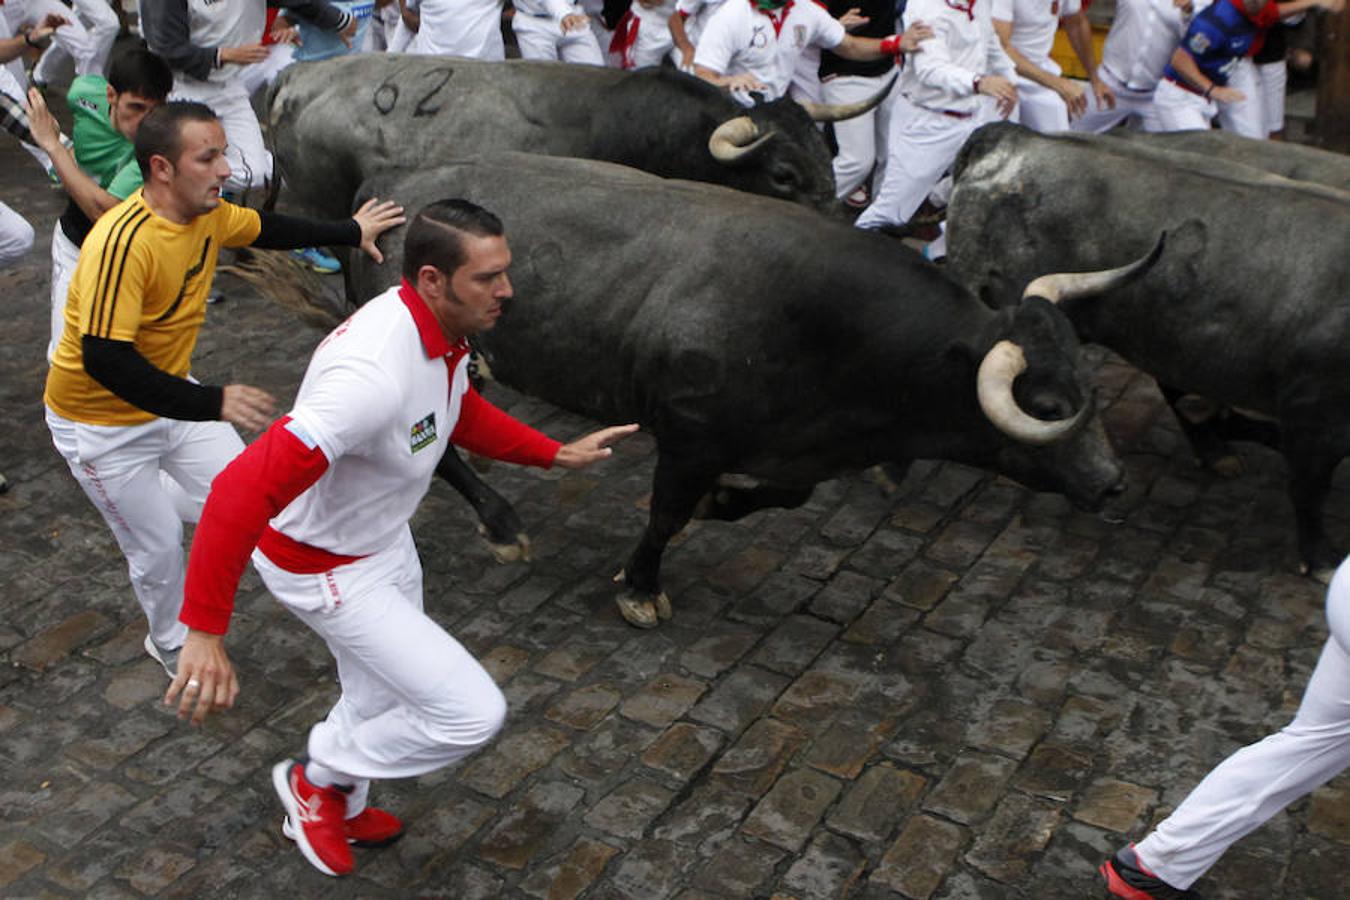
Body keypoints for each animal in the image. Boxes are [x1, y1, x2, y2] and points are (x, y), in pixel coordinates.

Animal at [345, 156, 1150, 626]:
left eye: (1086, 381)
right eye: (1051, 407)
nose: (1114, 483)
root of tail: (394, 189)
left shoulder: (788, 452)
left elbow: (778, 497)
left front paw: (723, 503)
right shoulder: (688, 434)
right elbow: (665, 513)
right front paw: (641, 585)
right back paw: (502, 521)